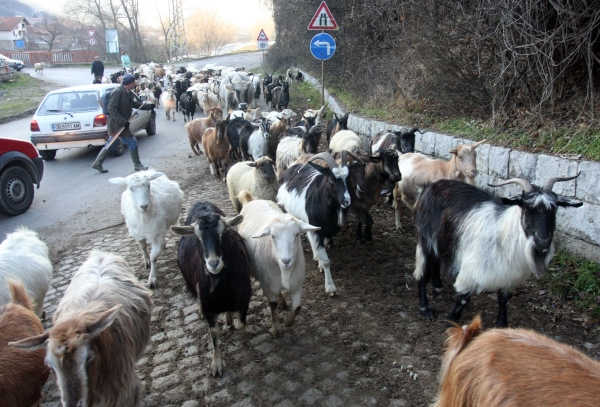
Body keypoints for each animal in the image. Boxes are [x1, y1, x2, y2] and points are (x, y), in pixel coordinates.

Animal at [171, 202, 251, 378]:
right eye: (196, 237)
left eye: (224, 232)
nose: (213, 264)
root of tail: (201, 203)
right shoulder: (209, 305)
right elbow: (214, 334)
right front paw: (216, 364)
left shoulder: (245, 297)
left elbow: (241, 323)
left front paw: (233, 321)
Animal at [237, 196, 322, 336]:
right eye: (272, 236)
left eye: (297, 234)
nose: (286, 261)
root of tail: (253, 200)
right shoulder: (268, 285)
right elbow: (273, 305)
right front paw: (275, 327)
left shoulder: (296, 284)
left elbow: (297, 307)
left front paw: (288, 321)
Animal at [412, 175, 580, 328]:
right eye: (525, 209)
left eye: (554, 210)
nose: (543, 241)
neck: (503, 234)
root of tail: (430, 186)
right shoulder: (471, 271)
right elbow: (463, 298)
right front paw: (451, 320)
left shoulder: (509, 276)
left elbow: (504, 300)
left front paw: (501, 325)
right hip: (426, 238)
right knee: (423, 272)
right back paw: (425, 308)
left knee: (436, 262)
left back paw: (438, 288)